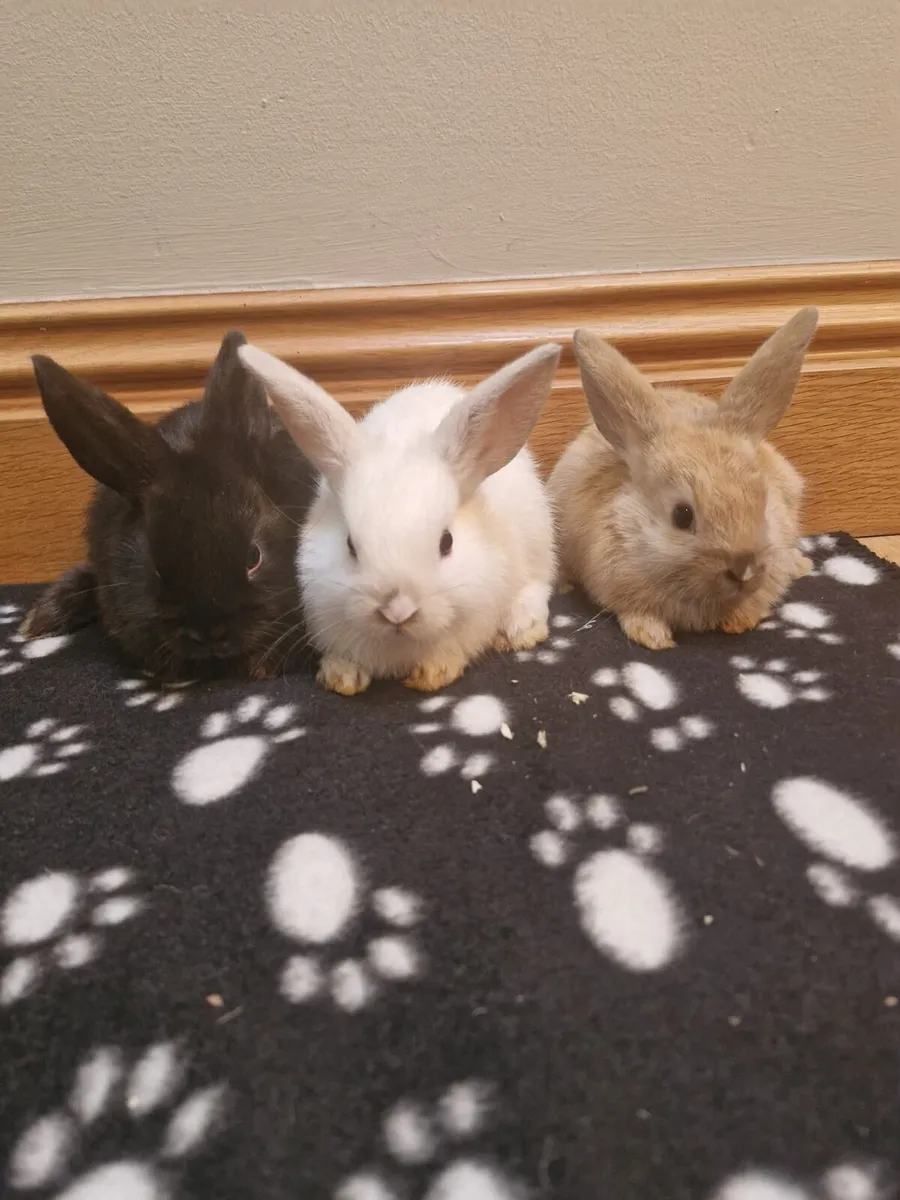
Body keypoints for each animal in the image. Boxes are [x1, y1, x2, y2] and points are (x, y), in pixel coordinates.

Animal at [236, 341, 561, 695]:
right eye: (350, 545)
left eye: (447, 542)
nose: (397, 611)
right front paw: (341, 677)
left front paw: (434, 672)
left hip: (538, 540)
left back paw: (521, 628)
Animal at [549, 307, 818, 651]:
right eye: (682, 515)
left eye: (762, 501)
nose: (744, 570)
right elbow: (637, 613)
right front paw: (654, 638)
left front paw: (739, 622)